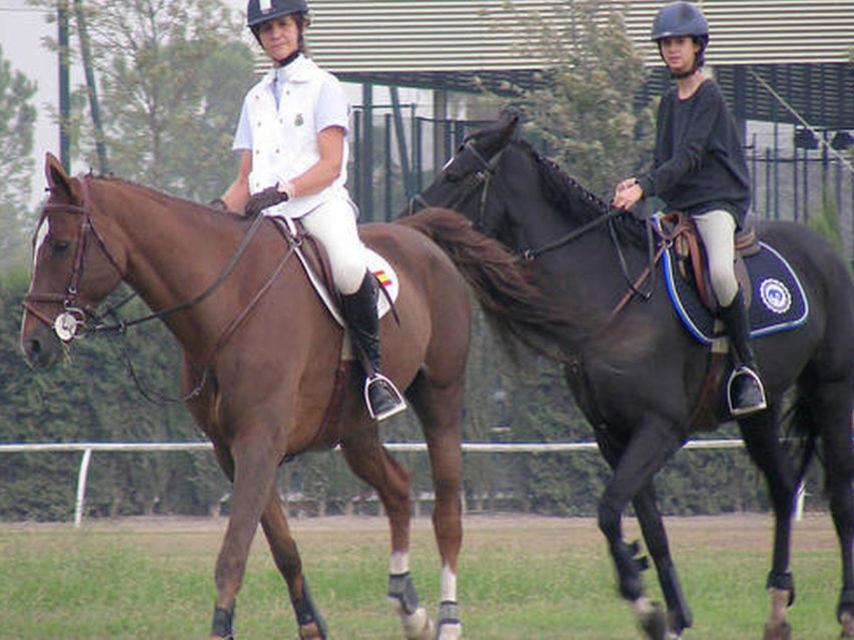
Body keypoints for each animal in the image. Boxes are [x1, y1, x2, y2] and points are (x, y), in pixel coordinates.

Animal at [20, 152, 567, 640]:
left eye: (61, 246)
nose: (33, 344)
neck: (227, 300)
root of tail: (419, 236)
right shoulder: (233, 450)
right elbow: (282, 546)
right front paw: (310, 625)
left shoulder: (259, 442)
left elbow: (233, 553)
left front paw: (222, 630)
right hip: (355, 430)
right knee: (397, 487)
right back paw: (409, 609)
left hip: (441, 401)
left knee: (447, 511)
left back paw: (449, 619)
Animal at [408, 112, 854, 640]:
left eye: (458, 175)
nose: (409, 219)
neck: (611, 301)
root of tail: (826, 252)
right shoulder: (614, 436)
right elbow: (649, 526)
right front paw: (669, 614)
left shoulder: (660, 428)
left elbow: (608, 510)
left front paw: (645, 602)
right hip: (758, 413)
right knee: (784, 487)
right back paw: (778, 605)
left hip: (833, 394)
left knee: (840, 496)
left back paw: (844, 609)